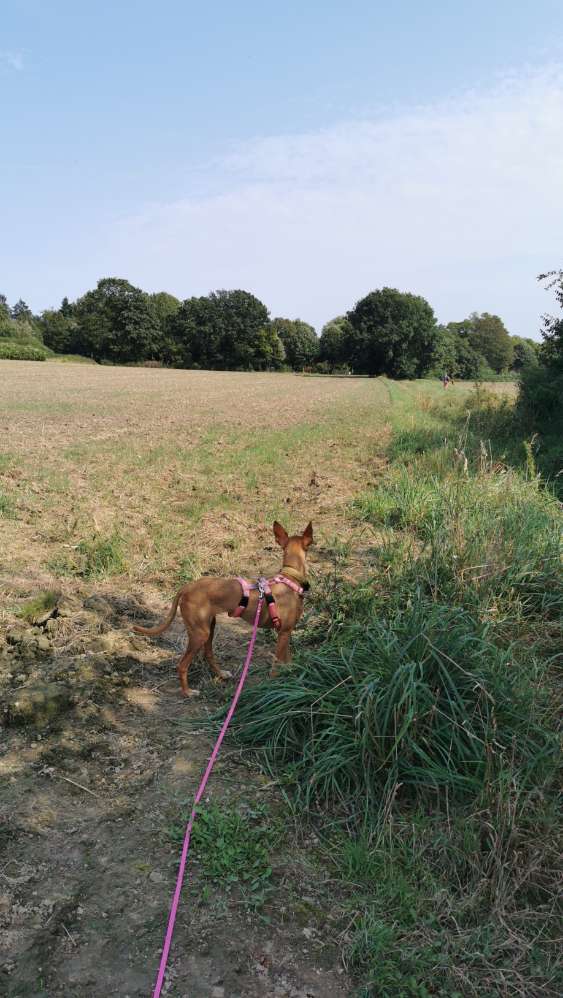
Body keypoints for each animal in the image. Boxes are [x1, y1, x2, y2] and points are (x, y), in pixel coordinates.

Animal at [135, 524, 316, 696]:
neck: (290, 577)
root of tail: (187, 587)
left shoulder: (286, 633)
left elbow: (288, 660)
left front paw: (293, 677)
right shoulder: (283, 633)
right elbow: (277, 665)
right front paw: (274, 686)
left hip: (209, 627)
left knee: (208, 654)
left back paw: (221, 674)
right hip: (200, 633)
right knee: (182, 665)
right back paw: (188, 692)